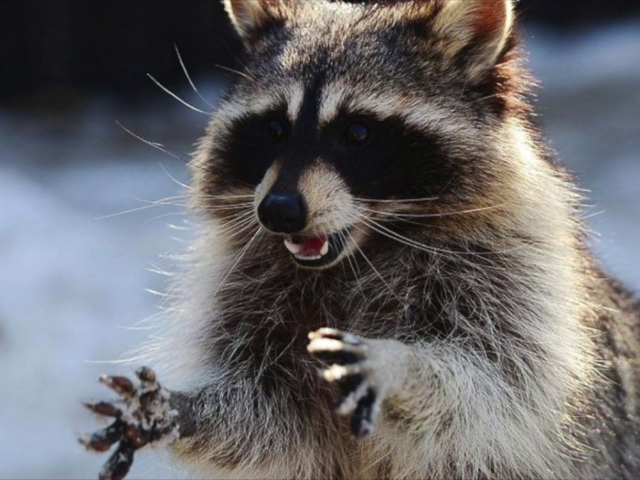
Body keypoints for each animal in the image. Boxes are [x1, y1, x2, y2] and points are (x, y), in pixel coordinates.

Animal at [81, 1, 640, 479]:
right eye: (274, 129)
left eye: (358, 133)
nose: (278, 211)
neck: (362, 253)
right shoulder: (248, 293)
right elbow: (269, 421)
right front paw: (183, 411)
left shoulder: (521, 281)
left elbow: (494, 387)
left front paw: (403, 368)